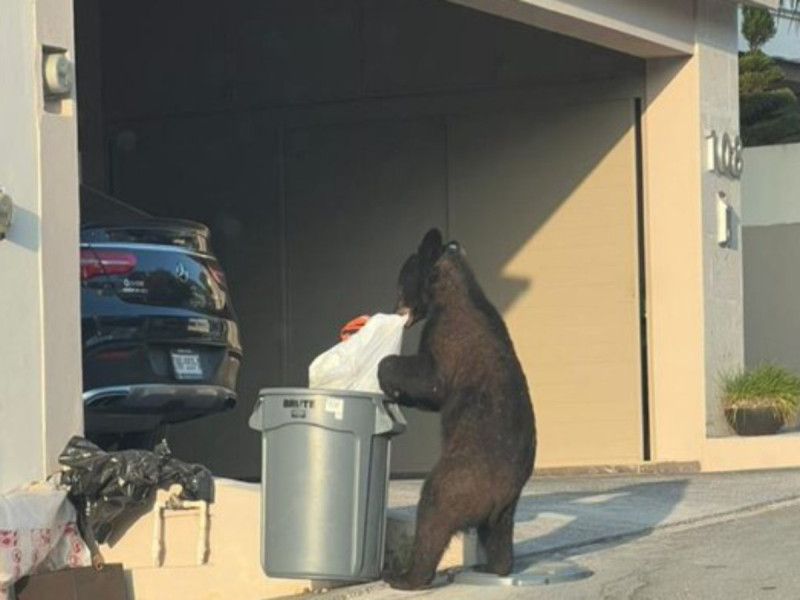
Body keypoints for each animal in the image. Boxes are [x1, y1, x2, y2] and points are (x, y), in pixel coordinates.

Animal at [378, 228, 536, 590]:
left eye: (400, 284)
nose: (395, 308)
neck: (451, 290)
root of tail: (497, 499)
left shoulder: (449, 337)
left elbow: (431, 380)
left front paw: (386, 373)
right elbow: (431, 397)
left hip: (460, 478)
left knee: (434, 511)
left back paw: (407, 576)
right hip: (505, 511)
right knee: (498, 538)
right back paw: (494, 566)